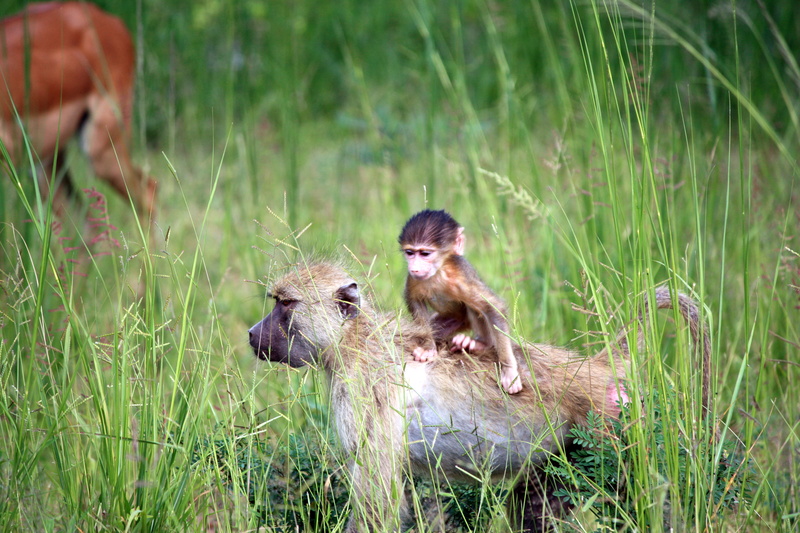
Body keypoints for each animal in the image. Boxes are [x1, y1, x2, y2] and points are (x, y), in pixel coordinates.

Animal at [248, 260, 712, 532]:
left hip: (608, 429)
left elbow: (376, 502)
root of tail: (599, 366)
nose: (253, 334)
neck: (355, 342)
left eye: (285, 305)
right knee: (533, 508)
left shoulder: (367, 397)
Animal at [398, 209, 523, 394]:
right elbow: (414, 300)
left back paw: (480, 344)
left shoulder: (461, 277)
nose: (415, 267)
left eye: (425, 254)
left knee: (473, 305)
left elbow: (493, 307)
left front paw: (509, 371)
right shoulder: (413, 279)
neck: (438, 272)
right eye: (410, 253)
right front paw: (428, 348)